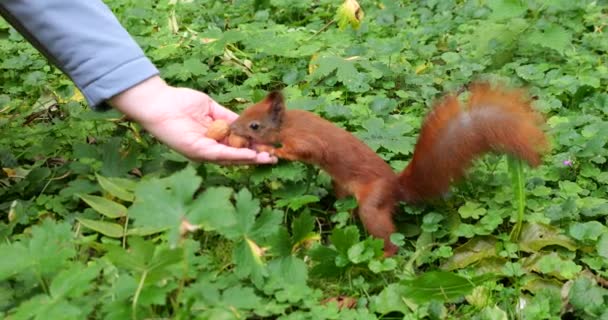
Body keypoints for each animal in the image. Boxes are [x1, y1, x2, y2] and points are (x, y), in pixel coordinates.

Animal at [229, 83, 552, 258]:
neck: (288, 123)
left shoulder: (306, 140)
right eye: (244, 113)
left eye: (255, 125)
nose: (232, 129)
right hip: (343, 189)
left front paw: (273, 150)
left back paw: (385, 251)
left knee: (385, 232)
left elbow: (306, 151)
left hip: (373, 203)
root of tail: (397, 188)